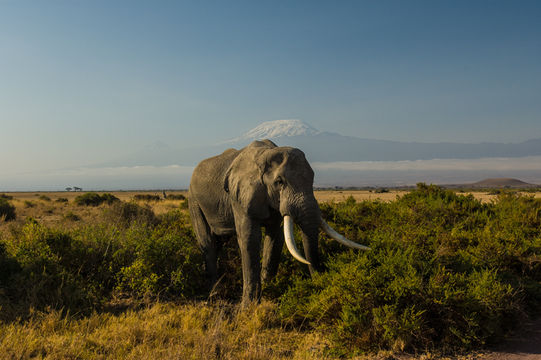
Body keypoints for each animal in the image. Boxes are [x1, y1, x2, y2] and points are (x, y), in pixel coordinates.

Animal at [188, 139, 370, 306]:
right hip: (194, 201)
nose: (319, 282)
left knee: (219, 242)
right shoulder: (240, 197)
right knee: (208, 243)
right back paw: (214, 294)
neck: (265, 154)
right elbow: (249, 239)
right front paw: (249, 307)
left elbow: (275, 237)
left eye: (313, 179)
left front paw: (270, 291)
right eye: (279, 182)